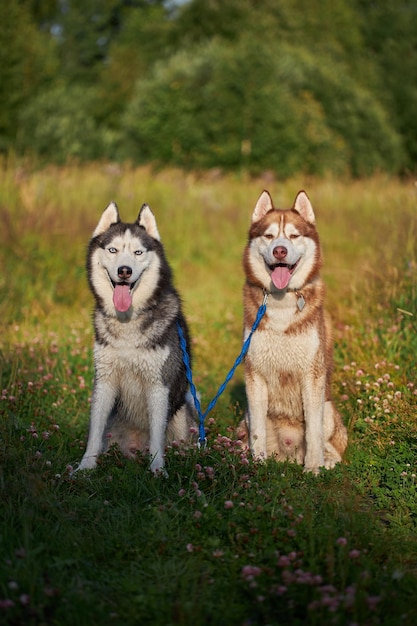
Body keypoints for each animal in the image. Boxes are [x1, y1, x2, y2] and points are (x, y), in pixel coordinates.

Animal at [77, 202, 195, 470]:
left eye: (138, 252)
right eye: (113, 250)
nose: (124, 271)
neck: (127, 323)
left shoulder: (158, 385)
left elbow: (157, 436)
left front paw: (157, 470)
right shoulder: (105, 381)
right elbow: (94, 432)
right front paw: (84, 467)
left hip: (182, 416)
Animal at [239, 190, 346, 472]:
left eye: (294, 236)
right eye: (269, 236)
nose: (280, 250)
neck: (281, 303)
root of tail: (289, 452)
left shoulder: (312, 374)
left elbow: (314, 431)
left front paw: (313, 469)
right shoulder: (254, 374)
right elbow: (257, 433)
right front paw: (257, 464)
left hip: (328, 408)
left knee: (330, 445)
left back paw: (326, 461)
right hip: (247, 416)